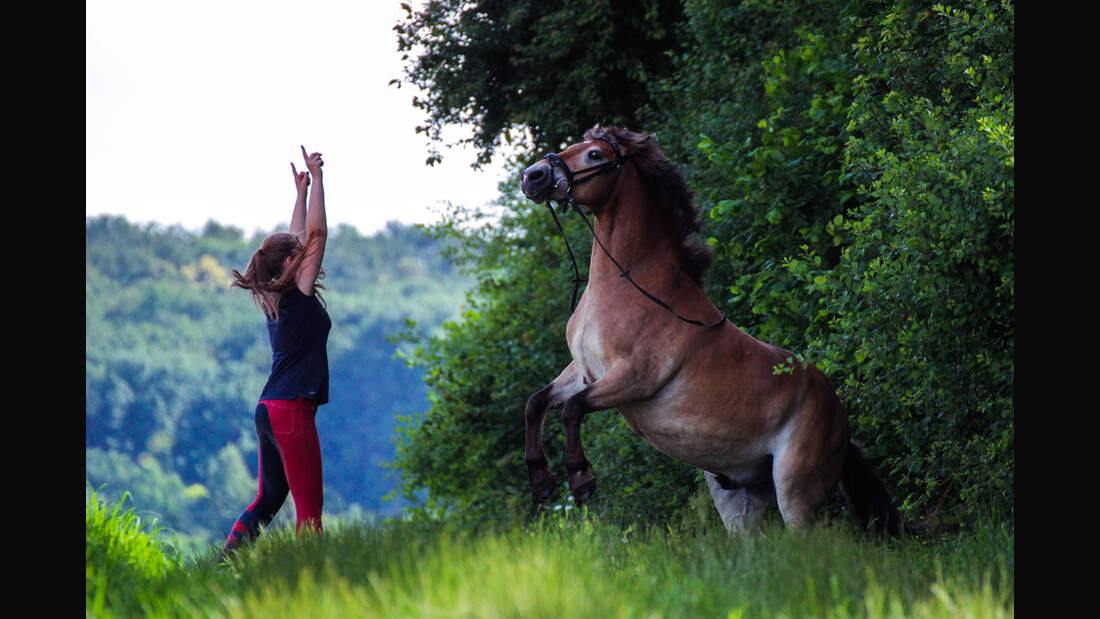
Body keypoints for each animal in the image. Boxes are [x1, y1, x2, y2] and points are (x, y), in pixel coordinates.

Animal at [519, 125, 897, 538]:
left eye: (595, 155)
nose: (532, 176)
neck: (627, 285)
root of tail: (842, 424)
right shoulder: (583, 370)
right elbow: (537, 402)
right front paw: (540, 481)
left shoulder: (633, 378)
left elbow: (573, 409)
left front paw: (581, 481)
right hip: (741, 503)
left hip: (796, 491)